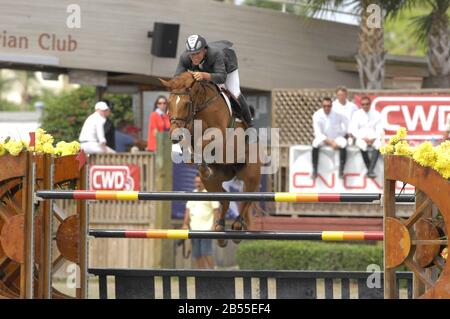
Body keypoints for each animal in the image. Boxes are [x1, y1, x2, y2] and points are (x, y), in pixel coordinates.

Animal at [160, 72, 262, 248]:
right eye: (169, 104)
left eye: (186, 104)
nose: (174, 136)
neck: (201, 106)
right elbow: (191, 143)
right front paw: (194, 160)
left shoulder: (219, 135)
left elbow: (202, 143)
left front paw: (201, 162)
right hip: (212, 182)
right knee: (225, 200)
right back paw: (220, 229)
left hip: (251, 175)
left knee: (246, 198)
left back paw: (237, 226)